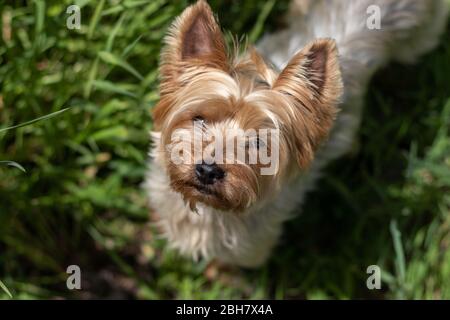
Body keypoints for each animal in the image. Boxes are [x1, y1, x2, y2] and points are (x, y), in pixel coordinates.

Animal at [146, 0, 448, 268]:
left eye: (259, 143)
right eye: (199, 119)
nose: (208, 170)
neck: (209, 211)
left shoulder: (251, 246)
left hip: (424, 34)